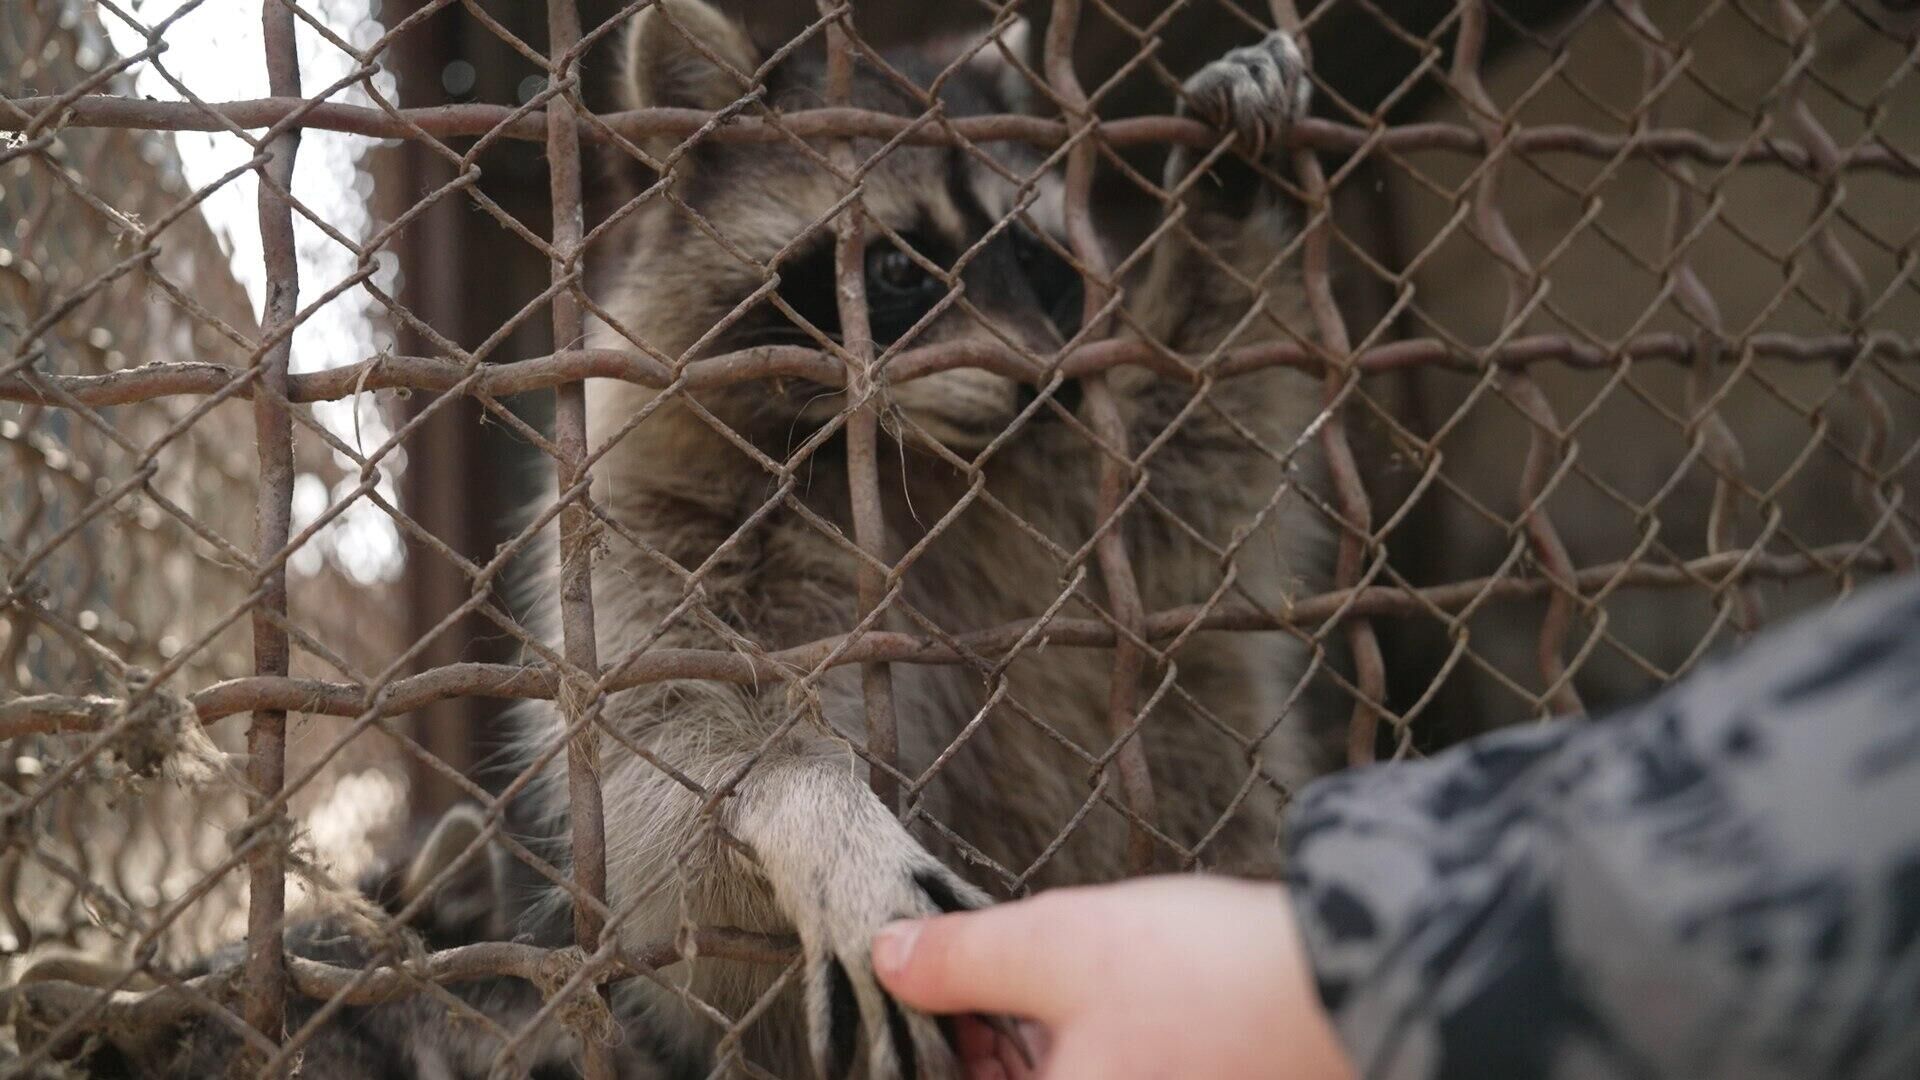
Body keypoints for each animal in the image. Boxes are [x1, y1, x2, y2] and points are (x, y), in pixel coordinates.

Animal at [518, 4, 1344, 1068]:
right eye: (898, 269)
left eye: (1033, 259)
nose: (1043, 382)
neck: (912, 455)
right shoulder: (650, 502)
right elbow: (656, 757)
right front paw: (809, 802)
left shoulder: (1068, 489)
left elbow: (1188, 472)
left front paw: (1221, 201)